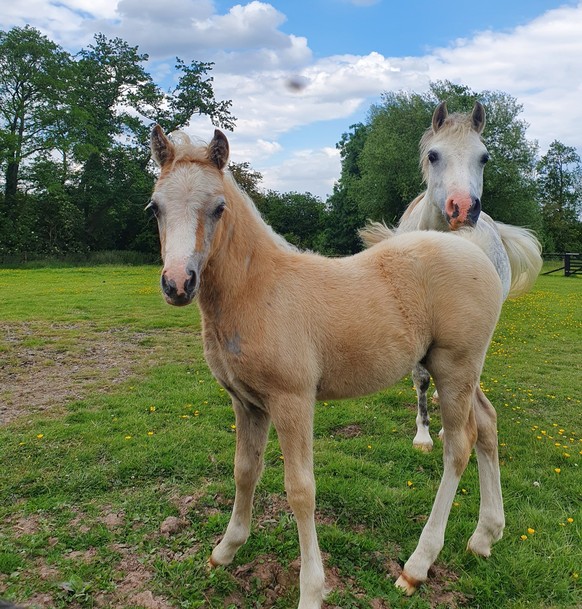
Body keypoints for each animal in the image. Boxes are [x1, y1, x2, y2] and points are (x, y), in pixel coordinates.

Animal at [149, 126, 506, 604]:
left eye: (218, 207)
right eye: (155, 207)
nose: (178, 284)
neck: (258, 290)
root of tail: (476, 252)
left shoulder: (292, 400)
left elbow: (301, 490)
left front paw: (311, 591)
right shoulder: (246, 402)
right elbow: (245, 471)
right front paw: (224, 551)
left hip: (454, 368)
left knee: (459, 444)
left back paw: (417, 566)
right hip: (463, 370)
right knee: (486, 424)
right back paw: (485, 536)